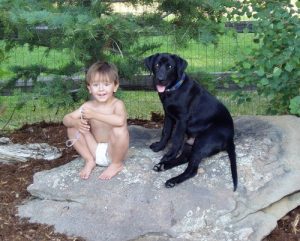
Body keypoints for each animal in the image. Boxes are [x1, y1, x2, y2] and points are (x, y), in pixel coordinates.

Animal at [144, 52, 238, 190]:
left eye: (170, 67)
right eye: (156, 65)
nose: (160, 79)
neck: (173, 90)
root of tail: (230, 137)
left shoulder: (181, 120)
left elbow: (176, 139)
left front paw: (168, 155)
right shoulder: (168, 115)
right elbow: (165, 132)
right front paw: (159, 147)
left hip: (202, 142)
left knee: (192, 170)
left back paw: (172, 179)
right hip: (190, 144)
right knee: (185, 159)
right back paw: (163, 166)